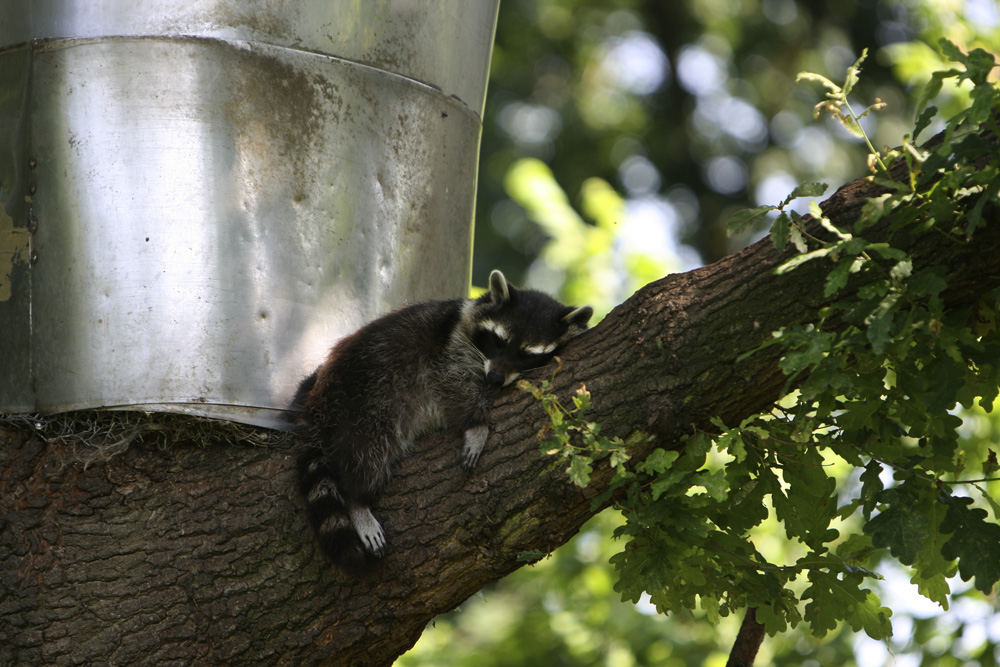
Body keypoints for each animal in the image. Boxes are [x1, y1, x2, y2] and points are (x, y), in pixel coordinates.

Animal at [292, 268, 596, 576]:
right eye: (498, 341)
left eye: (527, 355)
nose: (495, 378)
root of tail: (317, 402)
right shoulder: (447, 349)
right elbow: (449, 381)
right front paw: (476, 424)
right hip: (364, 402)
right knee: (367, 453)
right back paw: (357, 501)